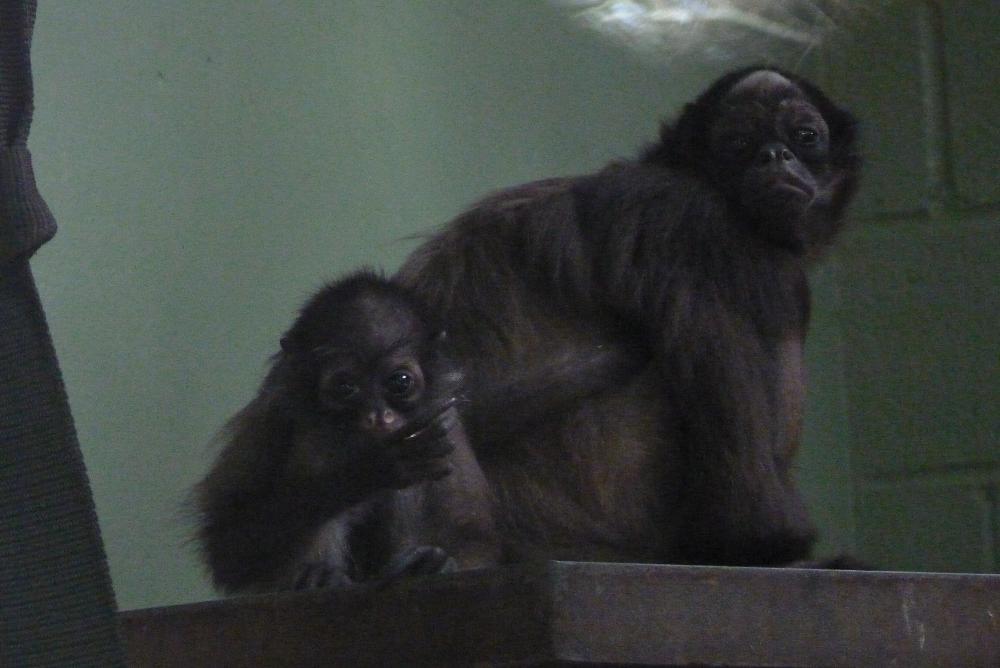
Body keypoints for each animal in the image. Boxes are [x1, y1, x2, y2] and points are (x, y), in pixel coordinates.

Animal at [192, 269, 500, 593]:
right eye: (345, 388)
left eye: (400, 382)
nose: (378, 416)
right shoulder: (275, 410)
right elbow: (227, 546)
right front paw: (370, 470)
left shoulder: (444, 419)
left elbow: (471, 535)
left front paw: (438, 563)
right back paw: (322, 575)